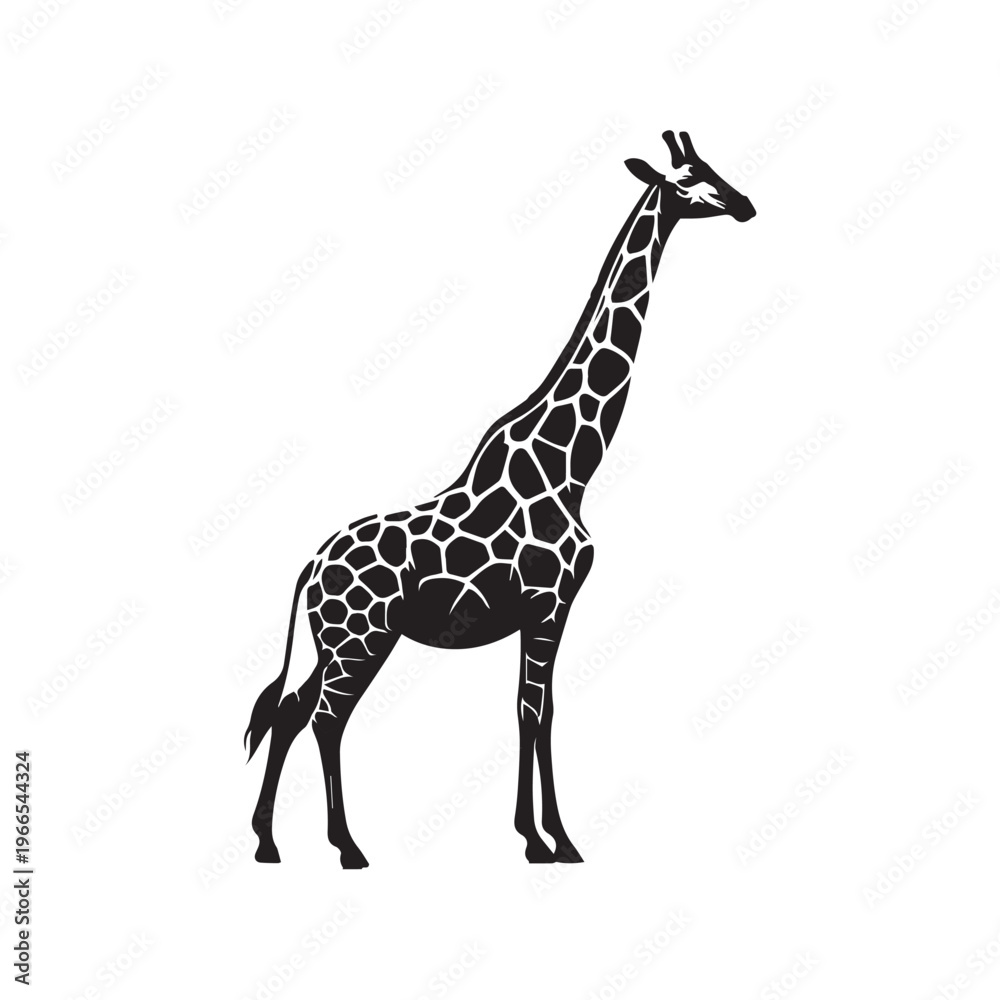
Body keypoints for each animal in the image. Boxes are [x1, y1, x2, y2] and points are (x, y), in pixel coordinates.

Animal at [246, 131, 755, 868]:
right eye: (690, 180)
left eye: (715, 167)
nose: (745, 204)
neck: (570, 465)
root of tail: (309, 570)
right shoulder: (549, 601)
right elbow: (536, 712)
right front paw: (552, 841)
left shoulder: (544, 609)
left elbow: (533, 710)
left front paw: (543, 836)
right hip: (361, 635)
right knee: (325, 717)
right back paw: (347, 847)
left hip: (333, 639)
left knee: (289, 712)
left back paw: (268, 843)